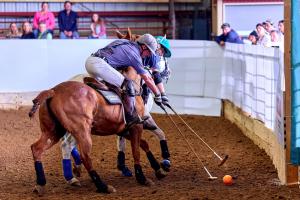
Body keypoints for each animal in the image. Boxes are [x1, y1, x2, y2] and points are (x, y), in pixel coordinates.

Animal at [29, 68, 166, 195]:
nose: (156, 95)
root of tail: (53, 91)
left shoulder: (124, 130)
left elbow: (144, 144)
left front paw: (158, 169)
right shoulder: (136, 126)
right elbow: (136, 151)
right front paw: (142, 178)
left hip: (53, 132)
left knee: (37, 148)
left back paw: (41, 183)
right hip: (82, 132)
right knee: (84, 156)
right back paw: (102, 186)